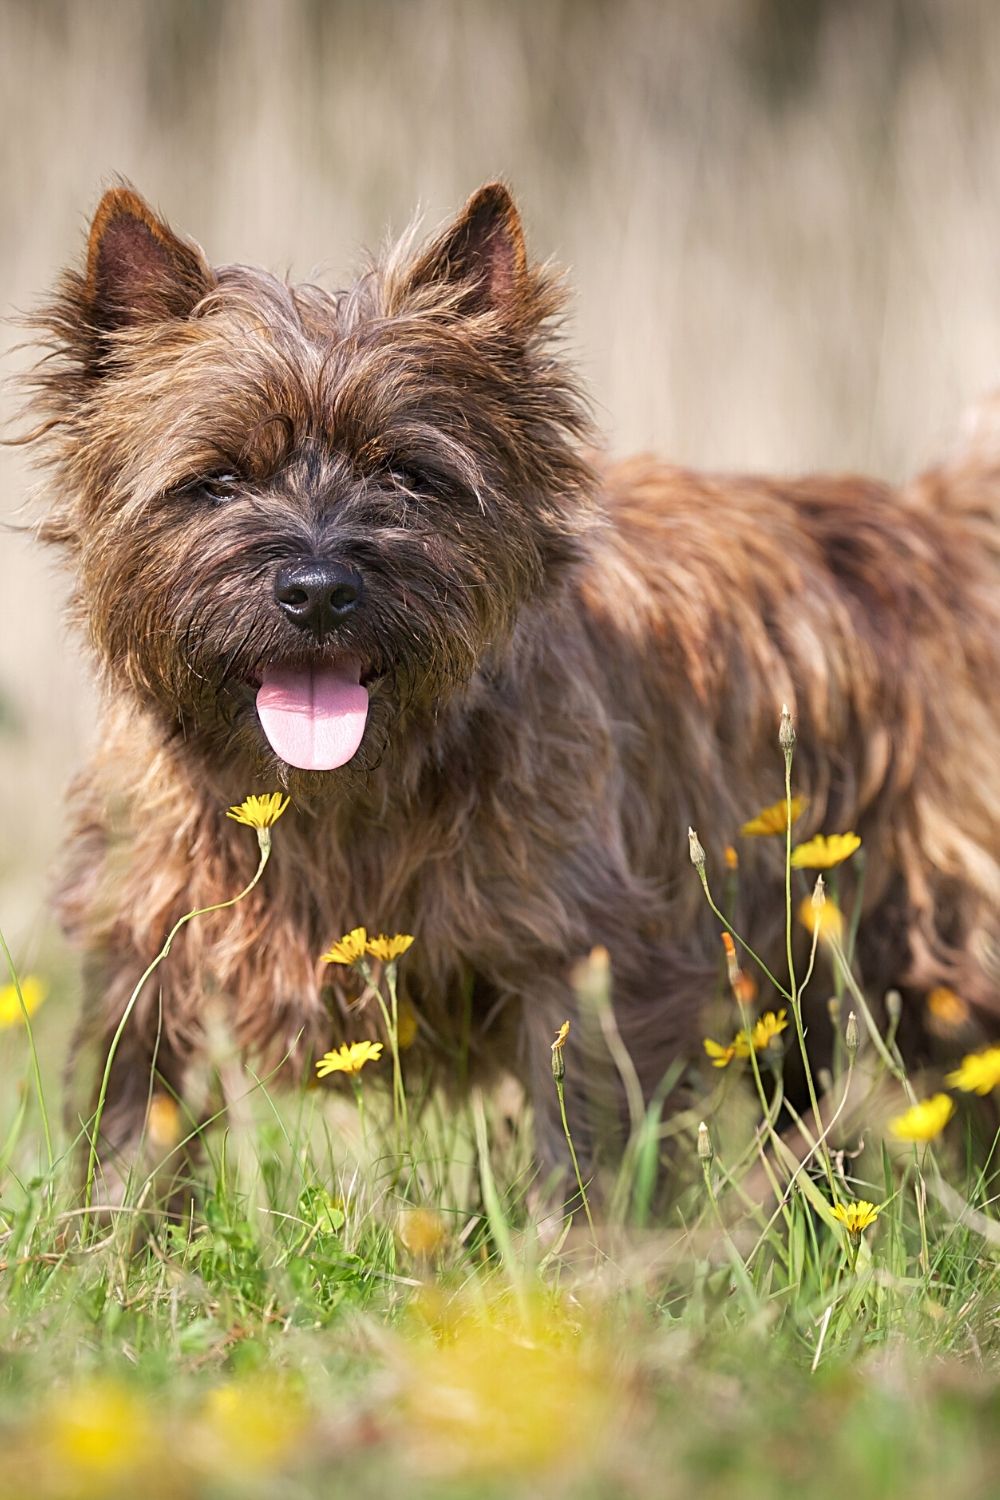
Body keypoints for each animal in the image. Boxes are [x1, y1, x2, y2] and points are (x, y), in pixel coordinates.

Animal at [17, 181, 1000, 1200]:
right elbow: (130, 1138)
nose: (319, 589)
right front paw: (110, 1237)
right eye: (216, 479)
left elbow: (583, 1145)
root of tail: (939, 521)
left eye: (407, 473)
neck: (336, 802)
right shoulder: (145, 954)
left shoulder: (587, 963)